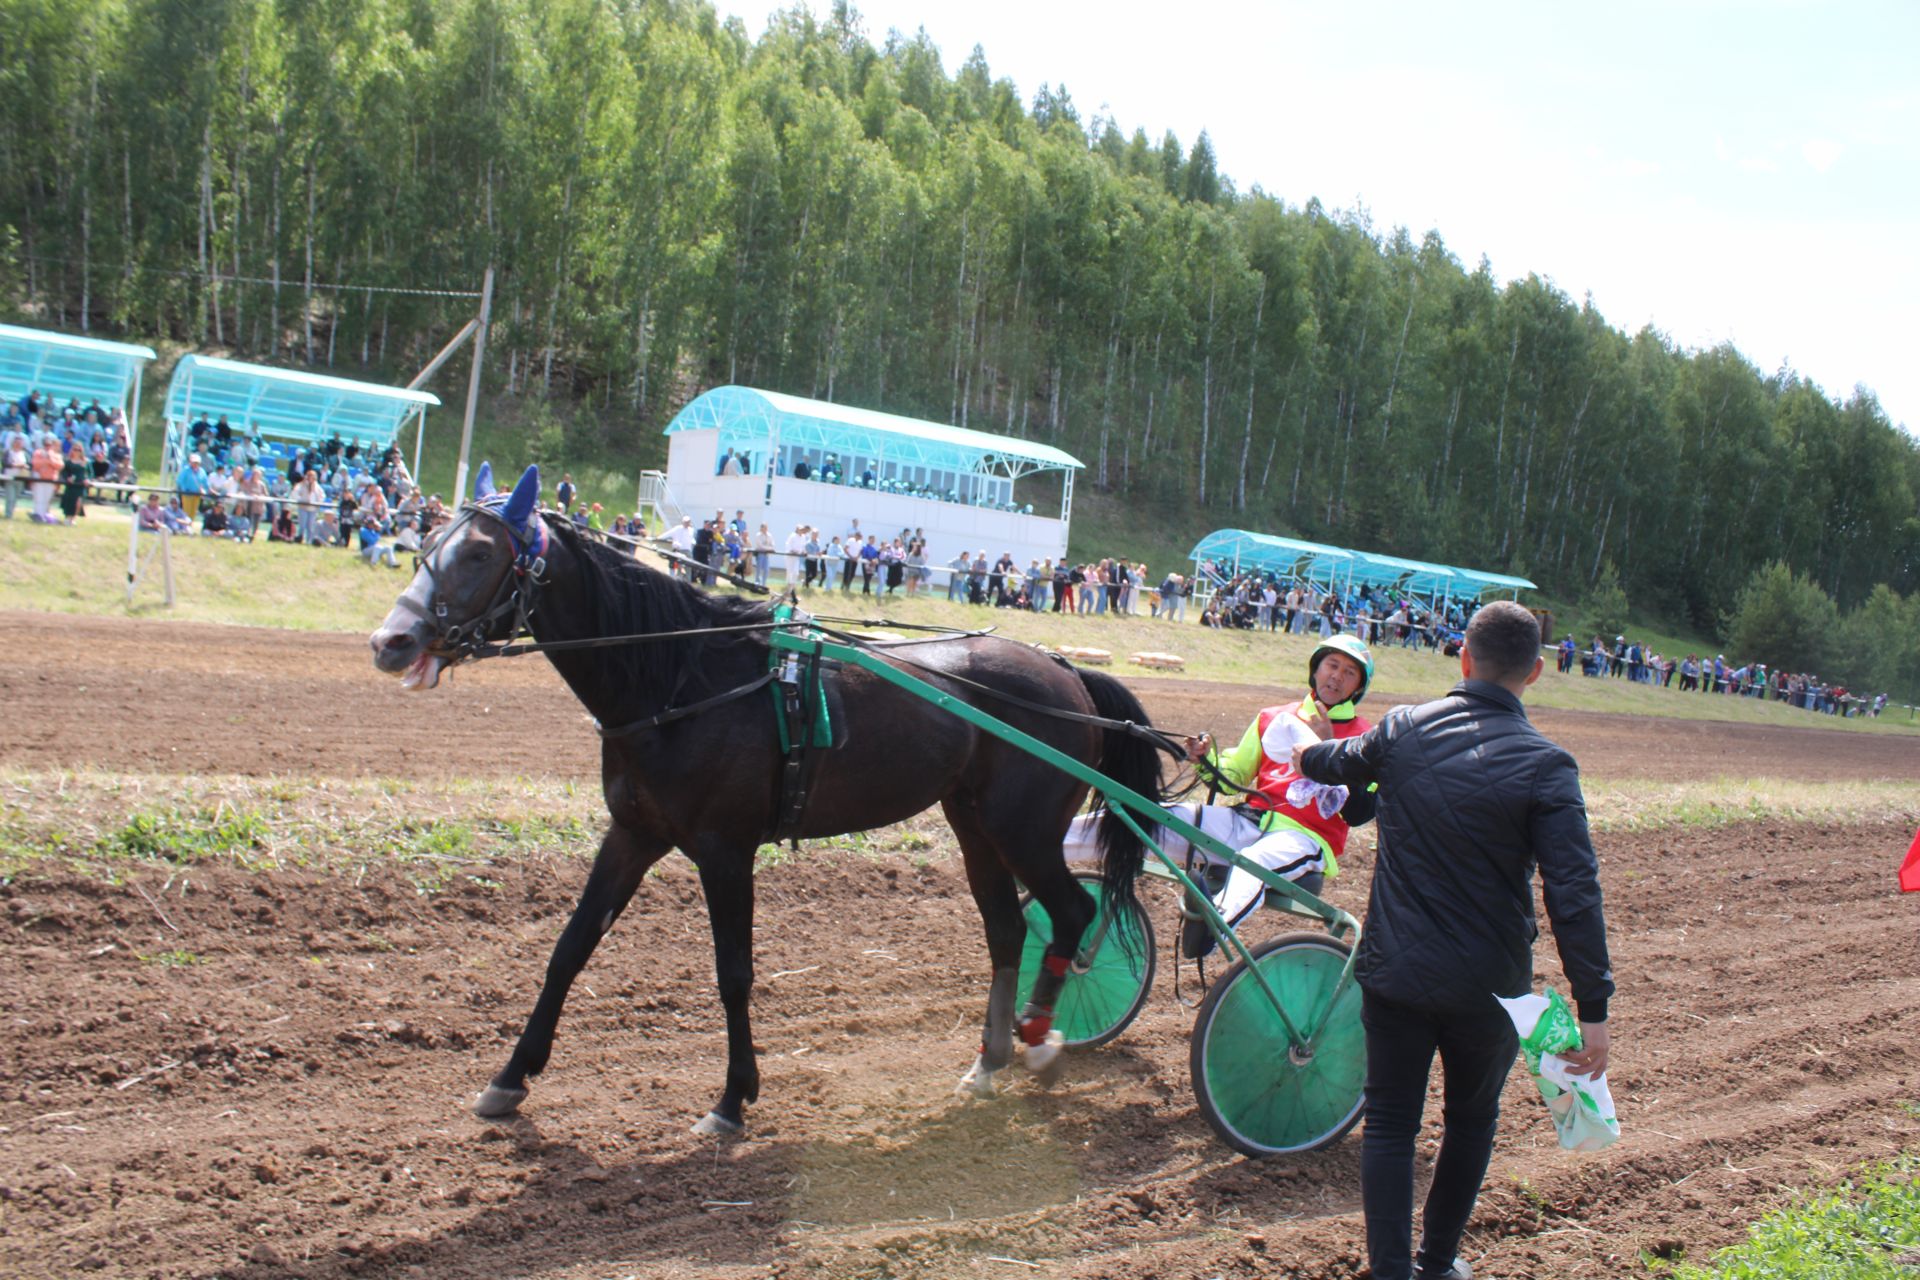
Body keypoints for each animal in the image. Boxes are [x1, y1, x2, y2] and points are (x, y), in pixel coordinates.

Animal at [368, 466, 1159, 1136]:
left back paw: (1039, 1035)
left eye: (477, 553)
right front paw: (510, 1076)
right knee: (1007, 929)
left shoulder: (726, 850)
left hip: (1022, 828)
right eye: (425, 543)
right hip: (973, 823)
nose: (390, 640)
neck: (682, 678)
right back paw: (989, 1060)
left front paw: (731, 1098)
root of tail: (1065, 671)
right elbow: (569, 948)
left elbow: (734, 973)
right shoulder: (632, 833)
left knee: (1073, 914)